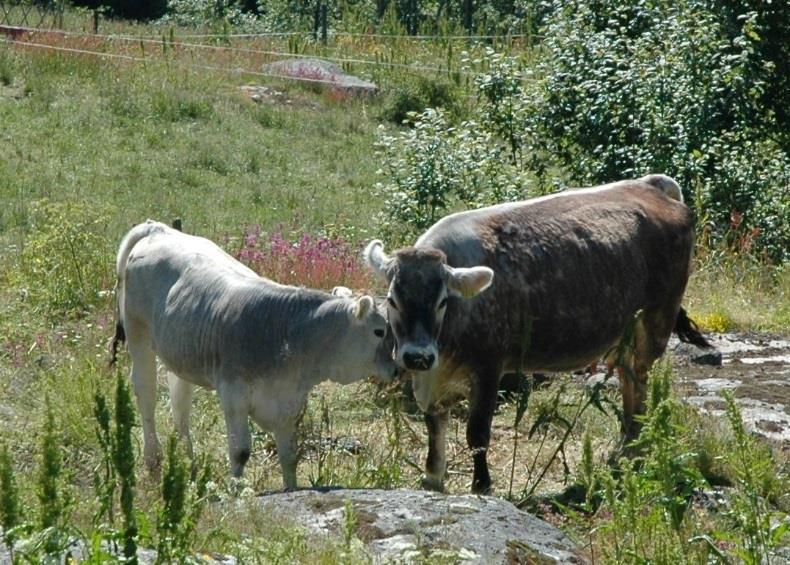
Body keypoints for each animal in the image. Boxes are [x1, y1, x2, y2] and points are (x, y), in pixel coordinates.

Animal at [366, 174, 712, 492]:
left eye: (441, 302)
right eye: (393, 300)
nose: (417, 356)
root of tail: (650, 185)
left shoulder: (489, 366)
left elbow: (477, 433)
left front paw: (482, 485)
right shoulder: (431, 379)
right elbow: (434, 425)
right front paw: (433, 478)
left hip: (656, 322)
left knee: (639, 382)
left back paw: (634, 451)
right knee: (629, 381)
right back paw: (624, 448)